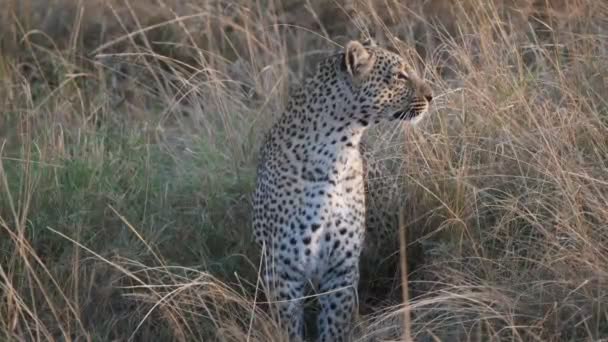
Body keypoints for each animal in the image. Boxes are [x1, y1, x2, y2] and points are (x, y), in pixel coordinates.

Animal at [252, 38, 432, 340]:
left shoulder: (341, 269)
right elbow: (288, 328)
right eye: (399, 76)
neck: (337, 154)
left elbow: (335, 325)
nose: (431, 96)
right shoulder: (282, 272)